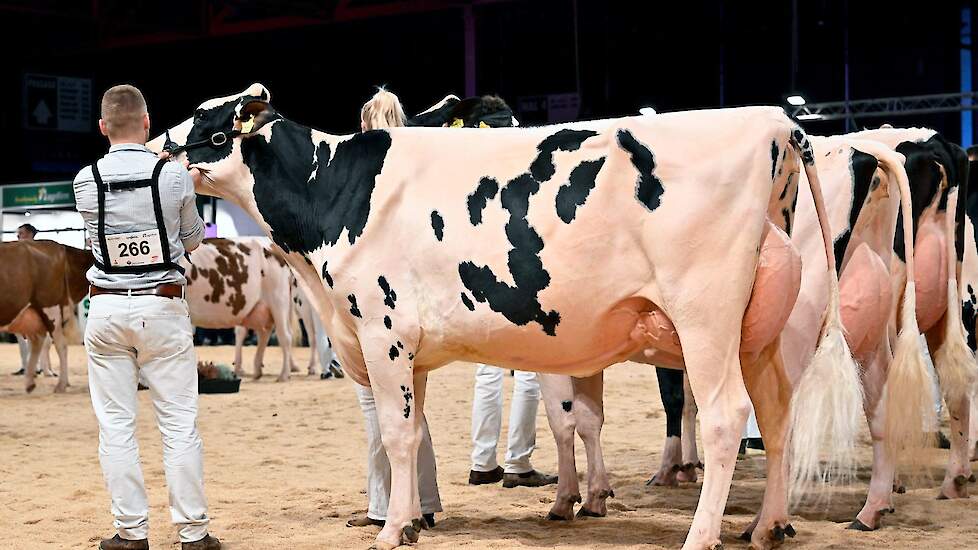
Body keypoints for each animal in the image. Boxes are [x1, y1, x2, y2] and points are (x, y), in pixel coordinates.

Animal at [0, 242, 92, 392]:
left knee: (60, 344)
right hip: (32, 313)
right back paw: (31, 382)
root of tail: (56, 245)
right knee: (38, 341)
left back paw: (60, 385)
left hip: (50, 308)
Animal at [149, 83, 856, 550]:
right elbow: (415, 433)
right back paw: (766, 525)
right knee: (777, 411)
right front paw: (413, 519)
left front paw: (392, 531)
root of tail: (773, 123)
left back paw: (702, 536)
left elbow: (397, 437)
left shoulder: (382, 332)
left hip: (704, 315)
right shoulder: (406, 346)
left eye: (211, 126)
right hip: (757, 332)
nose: (152, 147)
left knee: (726, 415)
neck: (336, 192)